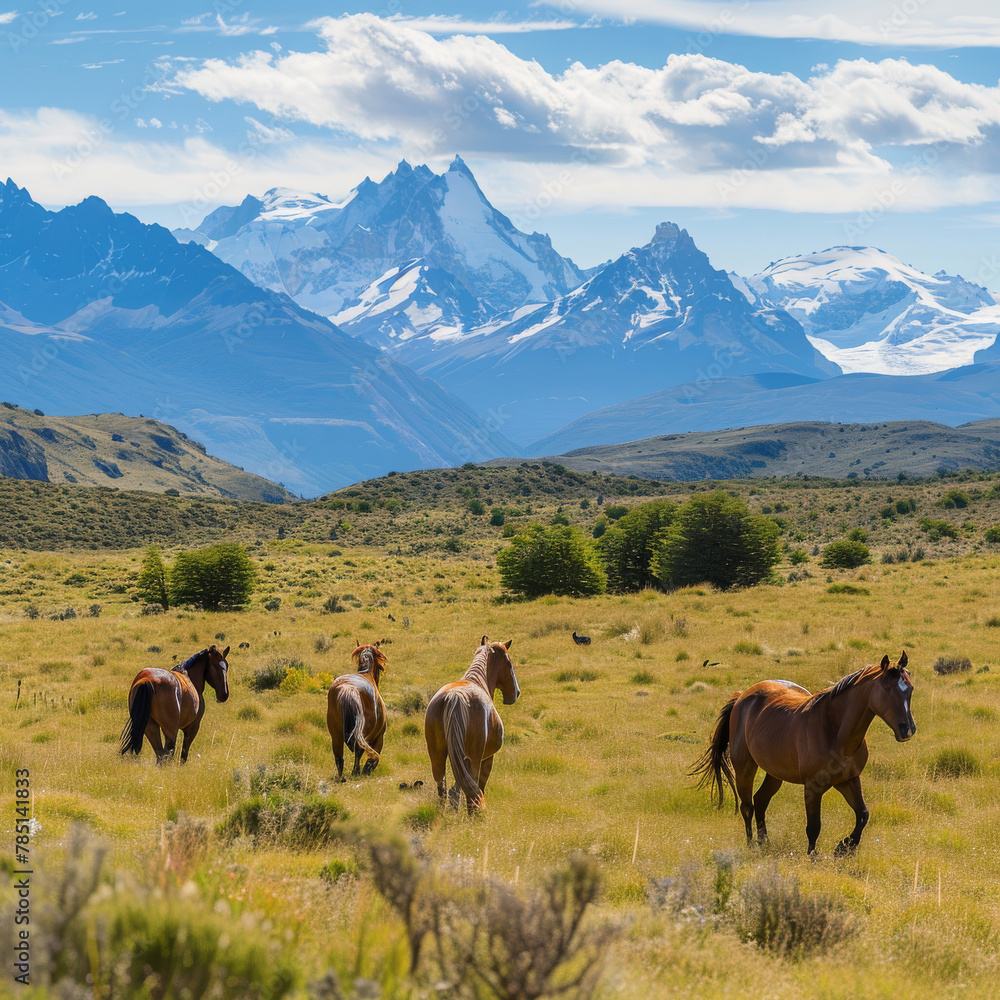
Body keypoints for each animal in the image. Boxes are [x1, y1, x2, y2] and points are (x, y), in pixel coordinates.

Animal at [330, 640, 388, 780]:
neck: (366, 672)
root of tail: (348, 688)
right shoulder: (379, 736)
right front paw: (367, 768)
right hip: (363, 732)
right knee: (358, 750)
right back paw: (355, 772)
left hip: (335, 732)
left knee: (338, 756)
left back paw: (341, 778)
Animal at [422, 636, 520, 816]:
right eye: (509, 663)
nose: (516, 692)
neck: (478, 680)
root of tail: (454, 697)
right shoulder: (487, 758)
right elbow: (479, 786)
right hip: (473, 759)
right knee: (472, 790)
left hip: (437, 756)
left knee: (443, 789)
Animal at [696, 652, 916, 856]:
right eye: (887, 690)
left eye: (910, 689)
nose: (908, 730)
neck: (835, 732)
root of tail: (742, 697)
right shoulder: (813, 787)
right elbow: (814, 826)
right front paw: (813, 856)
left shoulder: (849, 780)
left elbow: (863, 815)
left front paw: (844, 847)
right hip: (744, 767)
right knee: (747, 806)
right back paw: (752, 846)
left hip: (775, 773)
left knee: (760, 800)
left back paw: (764, 842)